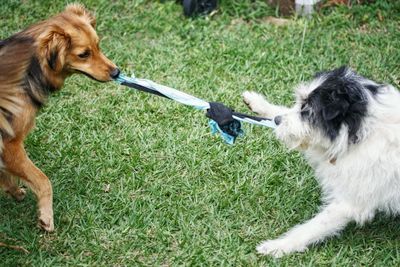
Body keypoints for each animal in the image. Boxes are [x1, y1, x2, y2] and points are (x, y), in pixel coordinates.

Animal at [0, 3, 119, 231]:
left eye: (98, 45)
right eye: (83, 54)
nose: (117, 72)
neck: (30, 69)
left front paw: (14, 191)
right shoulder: (11, 144)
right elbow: (43, 180)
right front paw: (46, 216)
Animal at [242, 66, 398, 258]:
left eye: (308, 110)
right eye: (301, 103)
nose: (278, 121)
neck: (363, 131)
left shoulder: (351, 201)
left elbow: (312, 227)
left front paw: (278, 246)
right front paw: (258, 103)